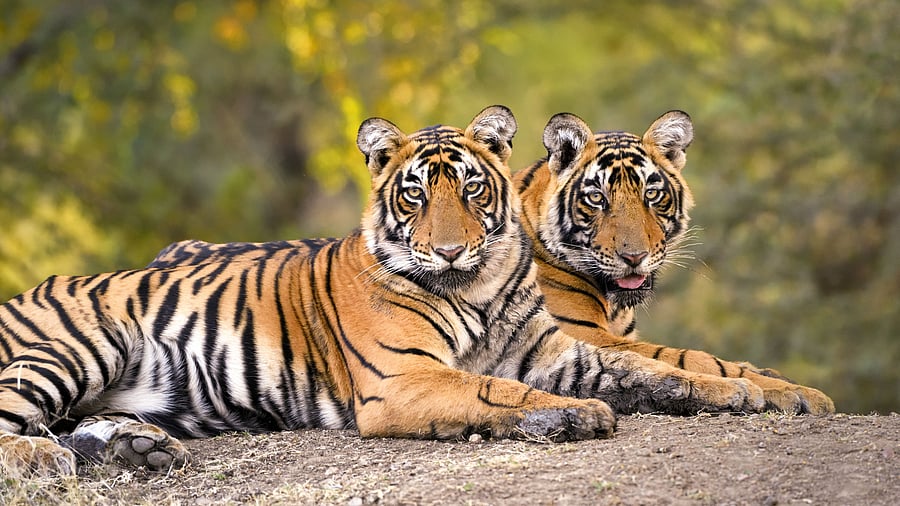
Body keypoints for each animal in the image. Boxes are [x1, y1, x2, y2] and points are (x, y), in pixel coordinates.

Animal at [0, 105, 766, 478]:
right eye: (416, 193)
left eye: (472, 188)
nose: (451, 248)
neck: (477, 284)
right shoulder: (405, 377)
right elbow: (496, 390)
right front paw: (576, 416)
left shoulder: (560, 353)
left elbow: (654, 367)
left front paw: (740, 392)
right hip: (75, 346)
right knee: (17, 426)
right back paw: (52, 459)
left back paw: (135, 450)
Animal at [513, 110, 834, 415]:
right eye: (596, 198)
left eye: (652, 194)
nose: (634, 257)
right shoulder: (579, 333)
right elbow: (691, 358)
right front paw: (796, 392)